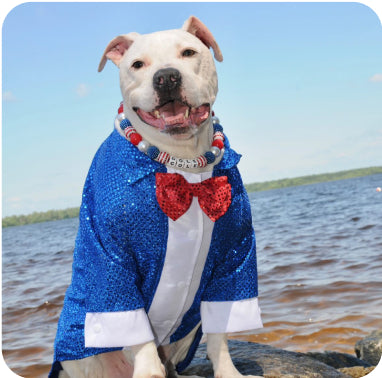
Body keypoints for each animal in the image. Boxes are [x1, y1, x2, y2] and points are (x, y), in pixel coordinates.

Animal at [50, 16, 262, 378]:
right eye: (138, 64)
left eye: (188, 53)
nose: (166, 77)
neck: (181, 163)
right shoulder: (110, 258)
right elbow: (136, 331)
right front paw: (149, 371)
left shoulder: (234, 256)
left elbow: (219, 334)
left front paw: (228, 371)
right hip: (83, 353)